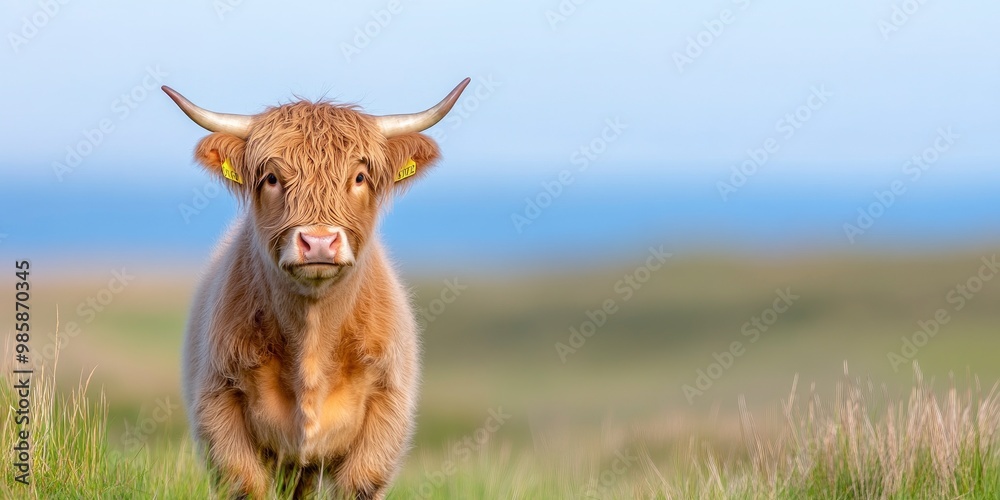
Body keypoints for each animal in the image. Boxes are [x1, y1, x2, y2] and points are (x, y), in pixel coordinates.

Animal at [162, 78, 470, 499]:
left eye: (359, 178)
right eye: (272, 178)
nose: (319, 242)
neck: (313, 335)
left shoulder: (385, 415)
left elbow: (359, 483)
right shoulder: (219, 407)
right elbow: (246, 484)